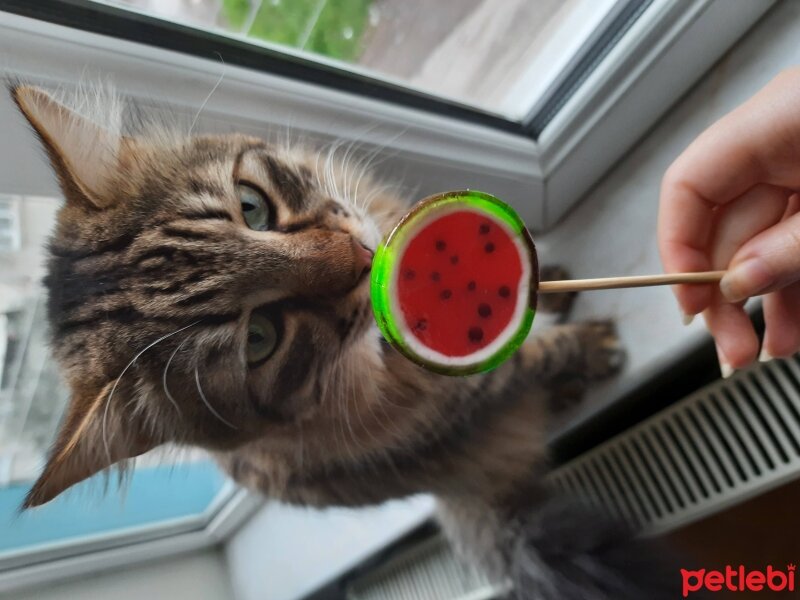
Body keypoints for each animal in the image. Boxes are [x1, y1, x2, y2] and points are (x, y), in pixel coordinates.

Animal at [9, 84, 680, 600]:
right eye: (260, 338)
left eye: (252, 207)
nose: (363, 258)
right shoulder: (458, 394)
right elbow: (532, 357)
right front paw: (587, 347)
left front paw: (554, 288)